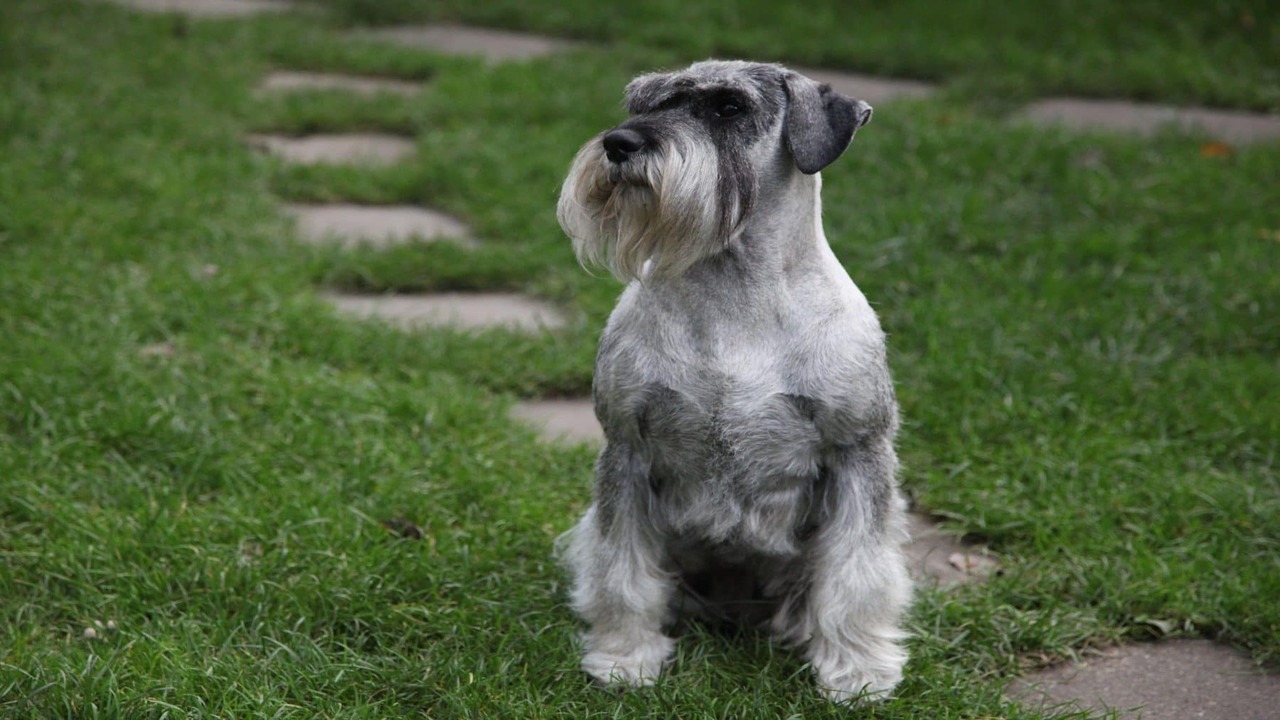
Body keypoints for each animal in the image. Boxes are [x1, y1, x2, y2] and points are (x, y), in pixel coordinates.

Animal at [558, 60, 911, 702]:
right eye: (641, 102)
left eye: (728, 107)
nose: (619, 143)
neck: (733, 294)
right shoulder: (627, 449)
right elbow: (622, 569)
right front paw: (625, 656)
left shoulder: (859, 452)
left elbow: (858, 573)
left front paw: (858, 670)